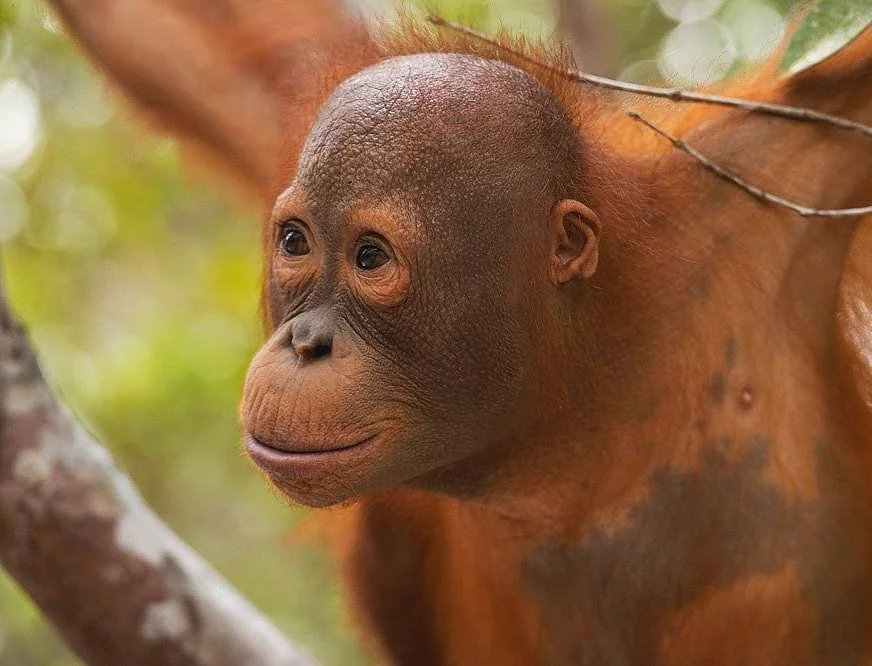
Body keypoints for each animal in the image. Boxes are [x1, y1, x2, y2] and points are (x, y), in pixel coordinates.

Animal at [42, 1, 872, 663]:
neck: (573, 405)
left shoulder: (773, 179)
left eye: (370, 257)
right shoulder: (289, 114)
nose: (305, 343)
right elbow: (180, 38)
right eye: (296, 243)